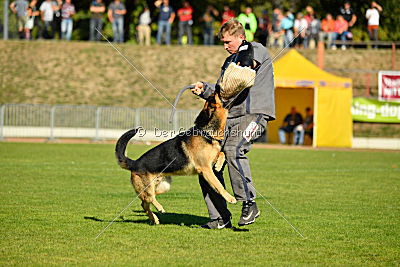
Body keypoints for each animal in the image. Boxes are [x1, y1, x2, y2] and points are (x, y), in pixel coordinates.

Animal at [115, 91, 234, 224]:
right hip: (148, 188)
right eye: (213, 97)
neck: (205, 132)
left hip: (163, 186)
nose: (216, 89)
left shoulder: (209, 163)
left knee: (144, 203)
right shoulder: (205, 169)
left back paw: (154, 218)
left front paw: (218, 165)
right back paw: (159, 208)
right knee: (149, 198)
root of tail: (135, 163)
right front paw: (230, 198)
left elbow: (222, 153)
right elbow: (218, 185)